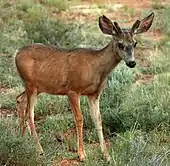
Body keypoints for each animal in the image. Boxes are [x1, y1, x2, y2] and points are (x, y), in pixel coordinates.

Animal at [15, 12, 154, 161]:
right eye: (120, 44)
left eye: (135, 43)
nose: (132, 63)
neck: (96, 68)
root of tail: (16, 54)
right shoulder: (72, 90)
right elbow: (79, 119)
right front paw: (81, 154)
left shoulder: (94, 94)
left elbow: (98, 119)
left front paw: (106, 155)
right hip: (31, 84)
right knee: (30, 113)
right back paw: (39, 150)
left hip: (37, 86)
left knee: (20, 99)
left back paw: (22, 139)